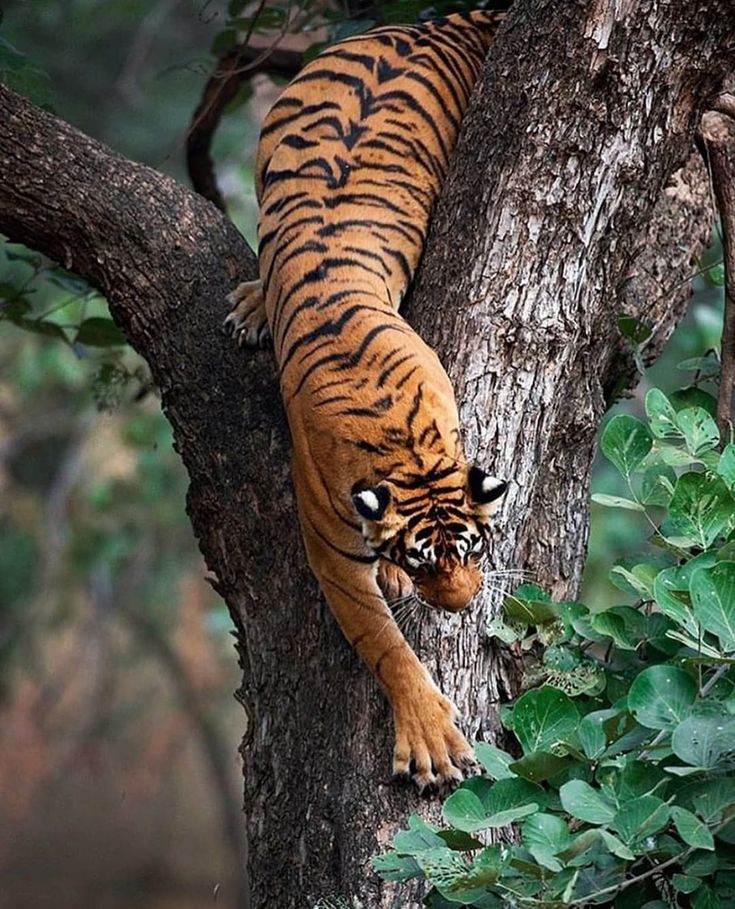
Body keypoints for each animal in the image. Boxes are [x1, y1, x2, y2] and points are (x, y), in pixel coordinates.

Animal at [227, 7, 508, 792]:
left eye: (473, 548)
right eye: (424, 560)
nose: (461, 604)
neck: (401, 446)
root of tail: (429, 25)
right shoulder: (327, 545)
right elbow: (384, 643)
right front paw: (432, 741)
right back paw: (252, 302)